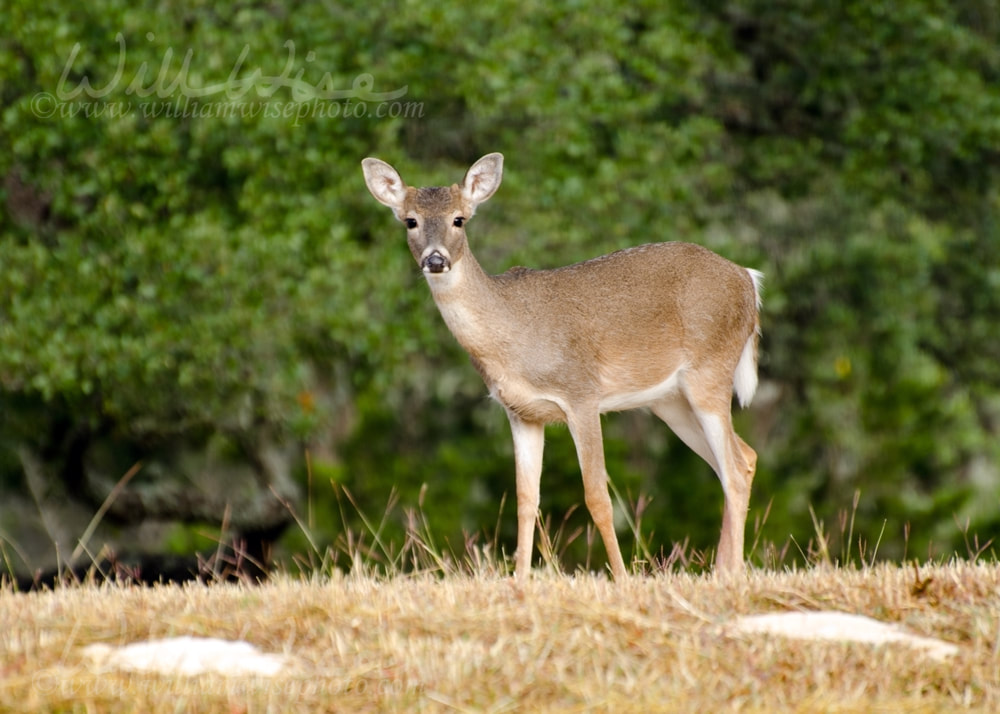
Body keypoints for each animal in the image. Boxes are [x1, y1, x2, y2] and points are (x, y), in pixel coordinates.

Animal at [364, 152, 760, 580]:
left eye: (459, 219)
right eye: (410, 220)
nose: (435, 260)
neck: (511, 336)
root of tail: (749, 280)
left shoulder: (581, 393)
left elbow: (597, 496)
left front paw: (621, 578)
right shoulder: (522, 412)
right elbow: (525, 499)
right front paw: (520, 580)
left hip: (711, 369)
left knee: (734, 468)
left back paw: (732, 573)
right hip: (670, 401)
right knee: (742, 459)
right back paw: (723, 571)